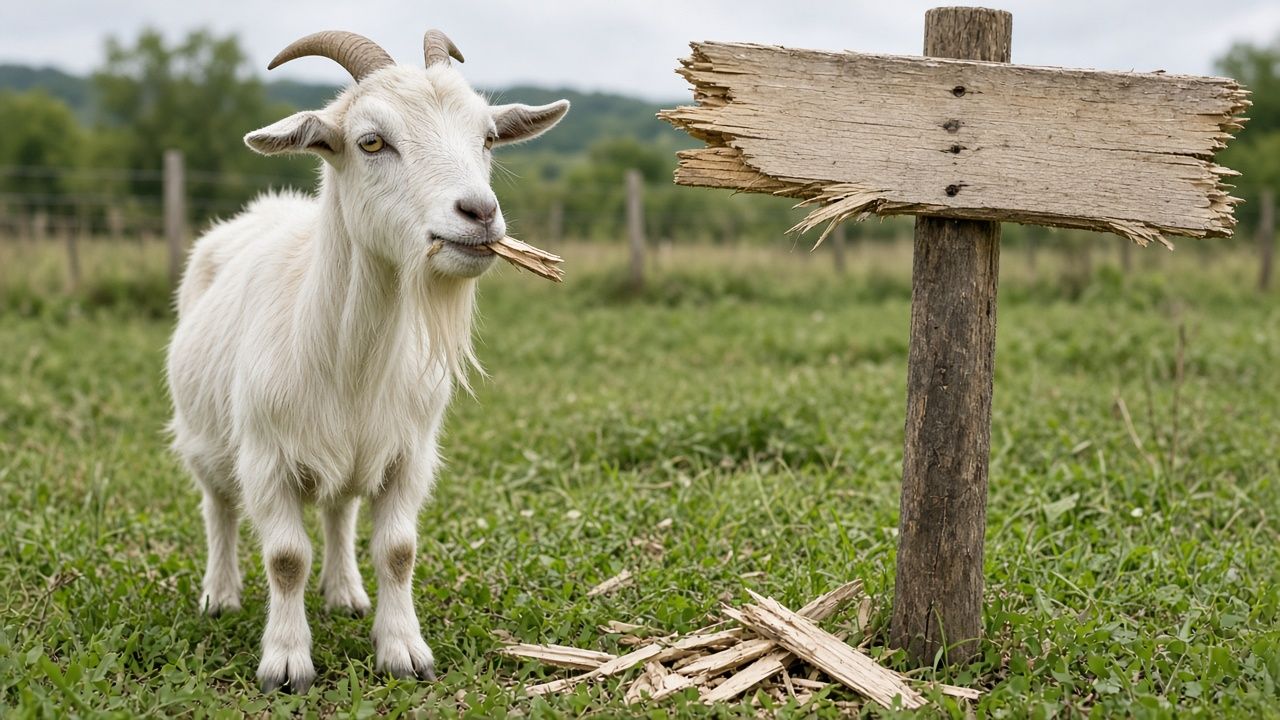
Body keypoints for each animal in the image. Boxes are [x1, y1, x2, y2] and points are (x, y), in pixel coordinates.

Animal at [166, 29, 569, 693]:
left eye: (487, 137)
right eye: (371, 141)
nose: (479, 213)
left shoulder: (408, 454)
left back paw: (345, 594)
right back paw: (219, 596)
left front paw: (403, 650)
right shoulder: (266, 458)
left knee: (338, 510)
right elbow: (285, 558)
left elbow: (398, 551)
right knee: (217, 507)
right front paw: (285, 663)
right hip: (204, 438)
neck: (347, 361)